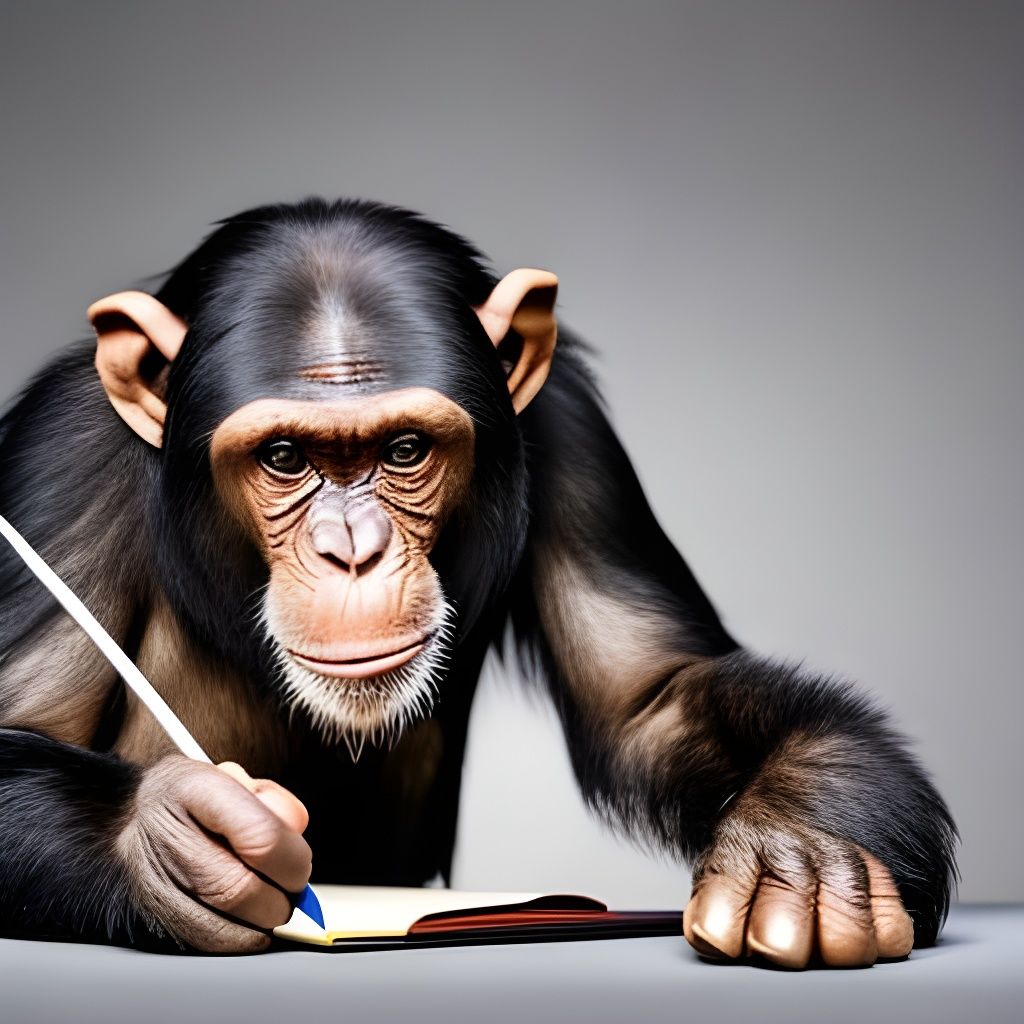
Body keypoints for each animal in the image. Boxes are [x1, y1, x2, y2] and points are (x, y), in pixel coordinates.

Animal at [0, 199, 956, 965]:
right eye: (284, 458)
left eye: (404, 450)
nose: (353, 550)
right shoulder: (62, 459)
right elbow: (21, 723)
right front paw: (175, 841)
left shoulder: (571, 431)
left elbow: (652, 695)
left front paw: (802, 840)